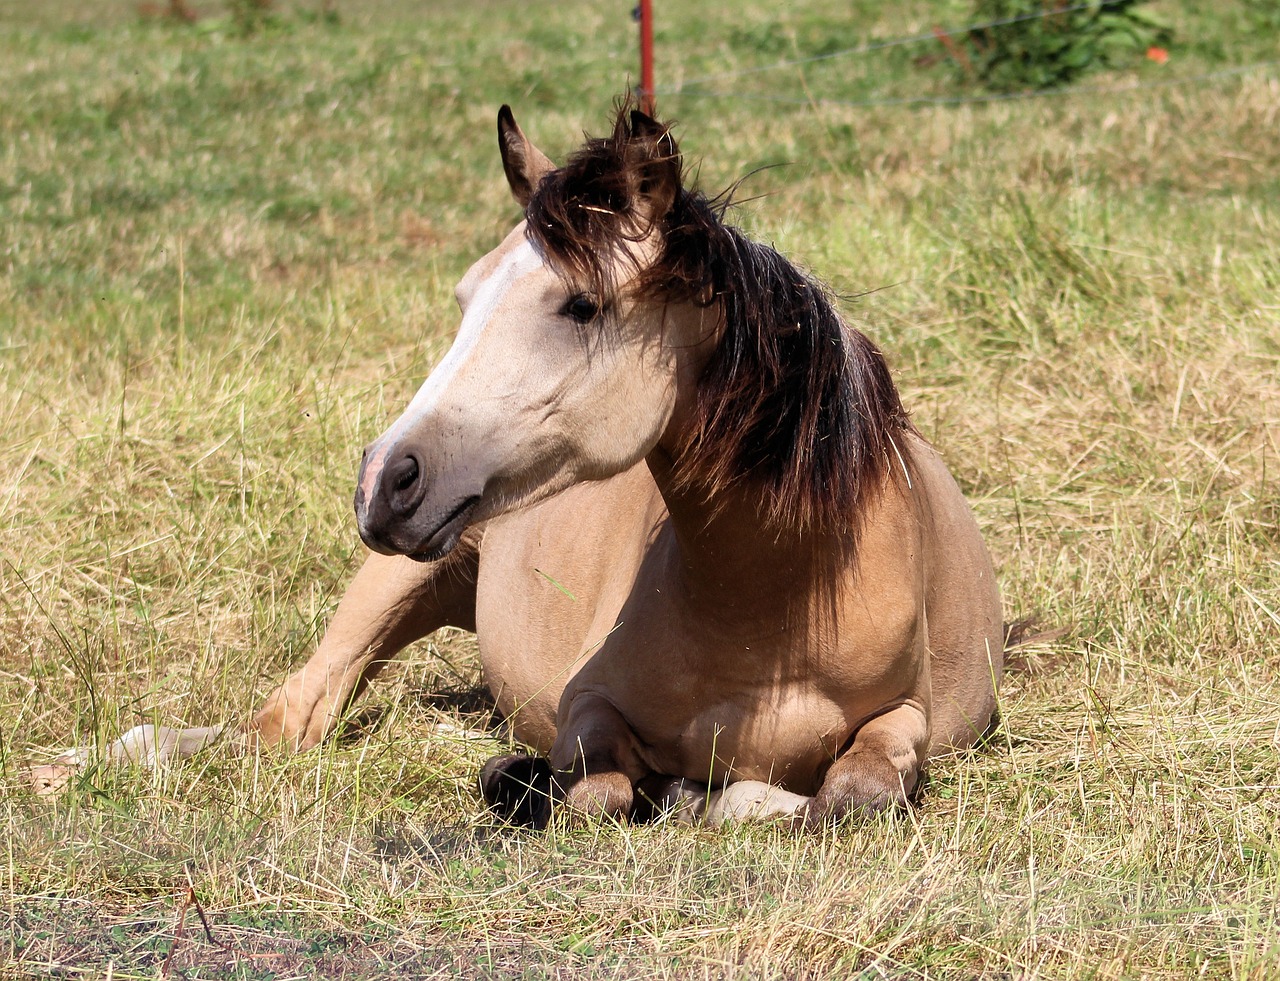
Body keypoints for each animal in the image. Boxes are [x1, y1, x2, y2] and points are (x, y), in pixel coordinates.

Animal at [30, 101, 1003, 829]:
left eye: (580, 305)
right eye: (465, 296)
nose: (384, 479)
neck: (772, 600)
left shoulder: (906, 720)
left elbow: (853, 791)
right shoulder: (585, 710)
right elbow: (600, 788)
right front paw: (547, 780)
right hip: (392, 584)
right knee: (287, 722)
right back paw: (87, 761)